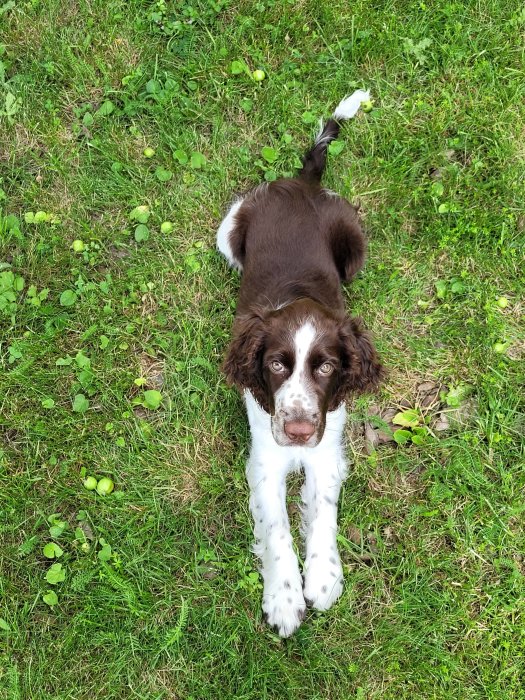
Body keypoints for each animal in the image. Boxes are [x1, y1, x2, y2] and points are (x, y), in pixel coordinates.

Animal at [216, 90, 380, 636]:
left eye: (327, 367)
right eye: (276, 365)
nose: (300, 431)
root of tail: (303, 183)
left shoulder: (327, 447)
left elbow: (323, 511)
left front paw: (324, 578)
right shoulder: (265, 456)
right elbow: (277, 527)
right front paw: (285, 599)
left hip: (355, 249)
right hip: (230, 232)